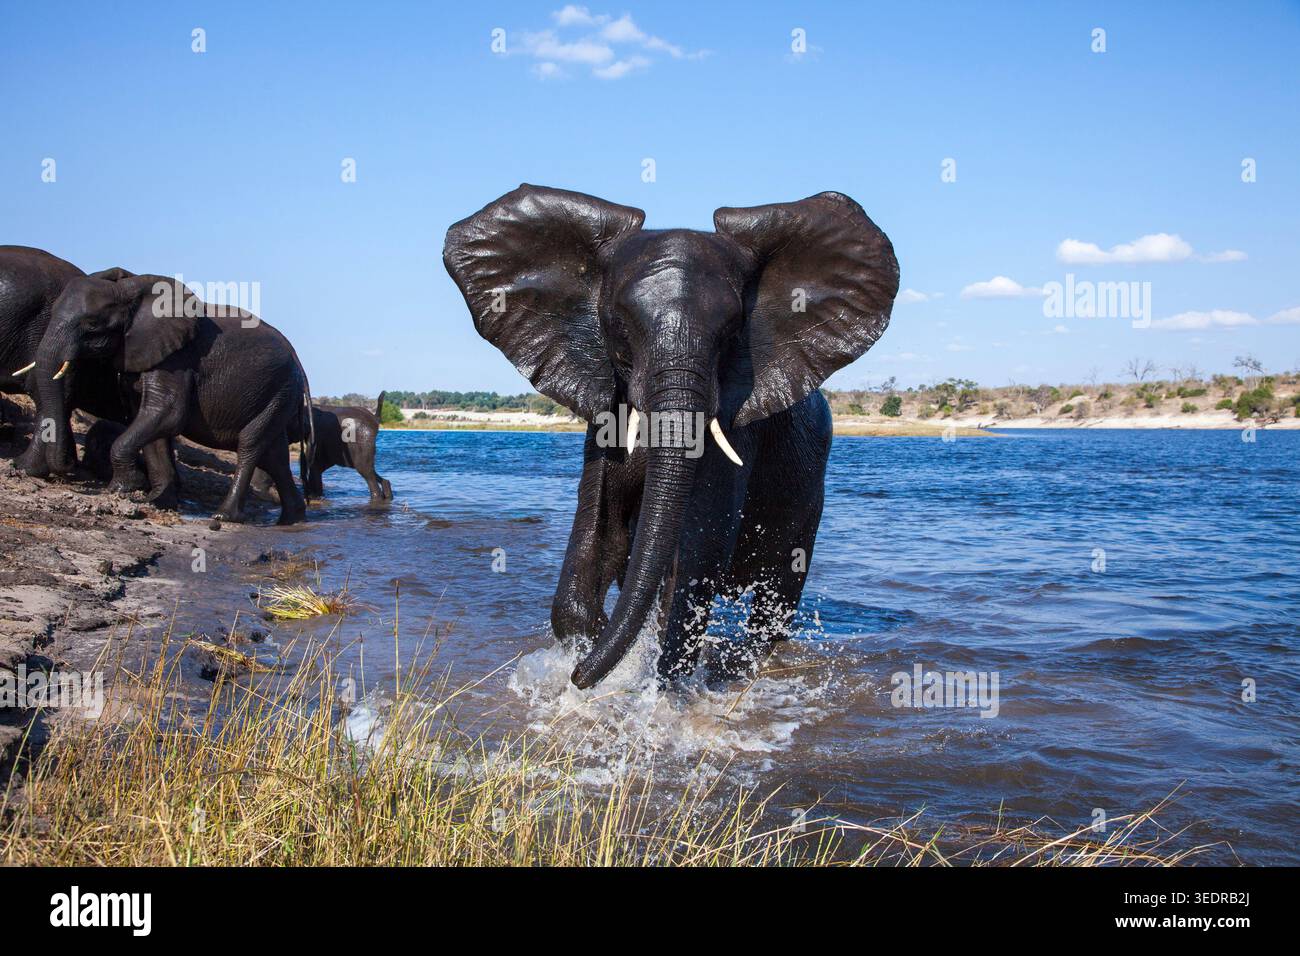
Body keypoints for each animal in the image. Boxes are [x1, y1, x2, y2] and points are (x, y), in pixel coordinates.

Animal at [33, 272, 314, 524]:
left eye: (91, 324)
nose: (70, 465)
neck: (127, 291)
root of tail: (296, 356)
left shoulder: (176, 359)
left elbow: (166, 413)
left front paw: (124, 488)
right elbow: (148, 421)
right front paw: (156, 501)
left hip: (280, 387)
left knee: (249, 443)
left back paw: (225, 516)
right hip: (277, 392)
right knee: (274, 454)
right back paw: (292, 518)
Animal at [444, 185, 898, 689]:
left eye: (732, 329)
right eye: (619, 324)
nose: (578, 677)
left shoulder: (737, 431)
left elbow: (695, 556)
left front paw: (652, 688)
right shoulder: (606, 417)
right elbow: (600, 538)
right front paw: (593, 649)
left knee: (775, 599)